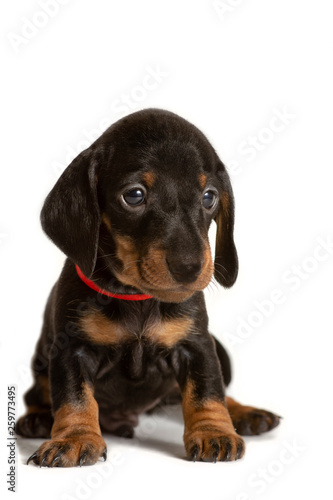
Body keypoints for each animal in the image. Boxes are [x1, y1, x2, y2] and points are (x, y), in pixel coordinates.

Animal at [16, 108, 278, 464]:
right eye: (134, 195)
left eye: (209, 197)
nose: (189, 268)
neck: (138, 296)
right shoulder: (71, 349)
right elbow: (74, 398)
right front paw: (75, 438)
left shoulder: (196, 345)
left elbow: (207, 391)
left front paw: (213, 432)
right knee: (38, 392)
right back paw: (38, 418)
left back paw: (246, 413)